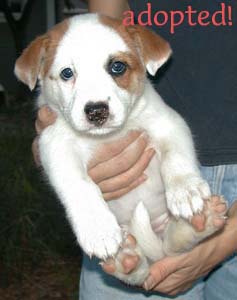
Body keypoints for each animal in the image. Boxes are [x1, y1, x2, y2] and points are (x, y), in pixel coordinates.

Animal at [13, 14, 227, 284]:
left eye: (117, 67)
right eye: (67, 73)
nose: (96, 111)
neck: (106, 137)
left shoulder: (169, 124)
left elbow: (175, 158)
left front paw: (185, 189)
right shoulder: (55, 146)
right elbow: (80, 186)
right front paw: (98, 228)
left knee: (170, 247)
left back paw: (199, 224)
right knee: (142, 269)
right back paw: (126, 259)